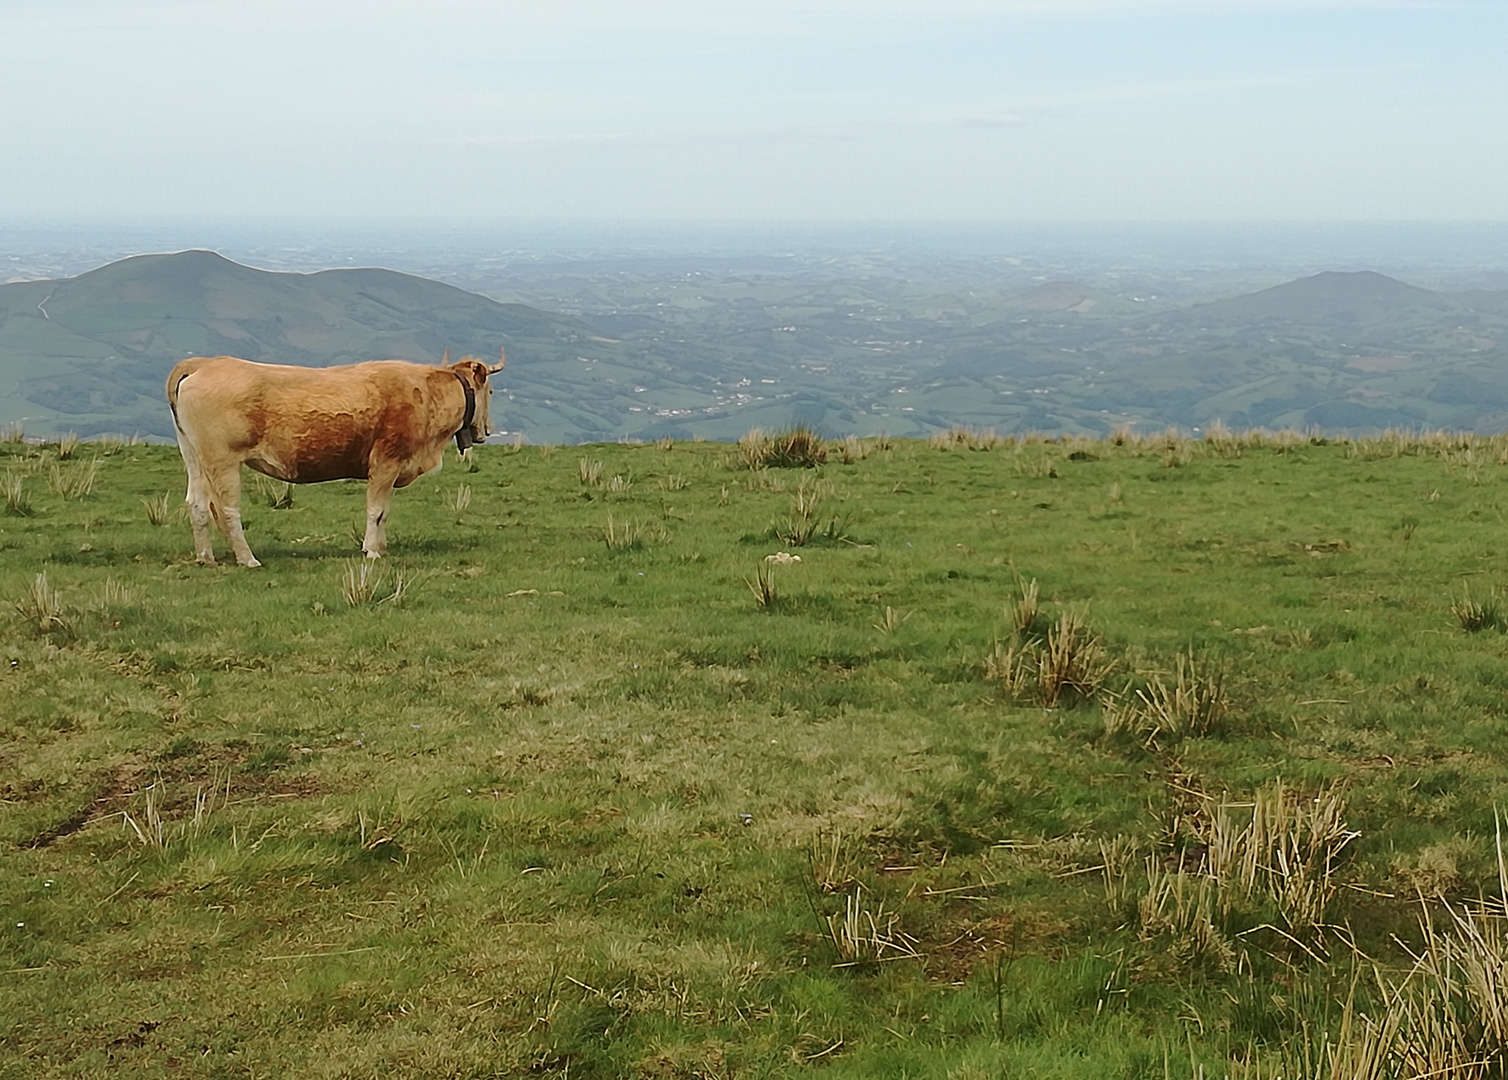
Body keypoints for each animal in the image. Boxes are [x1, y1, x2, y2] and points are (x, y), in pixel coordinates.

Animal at [168, 352, 503, 570]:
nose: (487, 429)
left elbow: (384, 512)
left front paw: (381, 548)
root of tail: (202, 363)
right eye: (490, 390)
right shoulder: (385, 462)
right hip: (222, 460)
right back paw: (248, 559)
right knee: (226, 509)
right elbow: (376, 511)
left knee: (197, 504)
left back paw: (205, 557)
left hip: (194, 457)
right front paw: (372, 551)